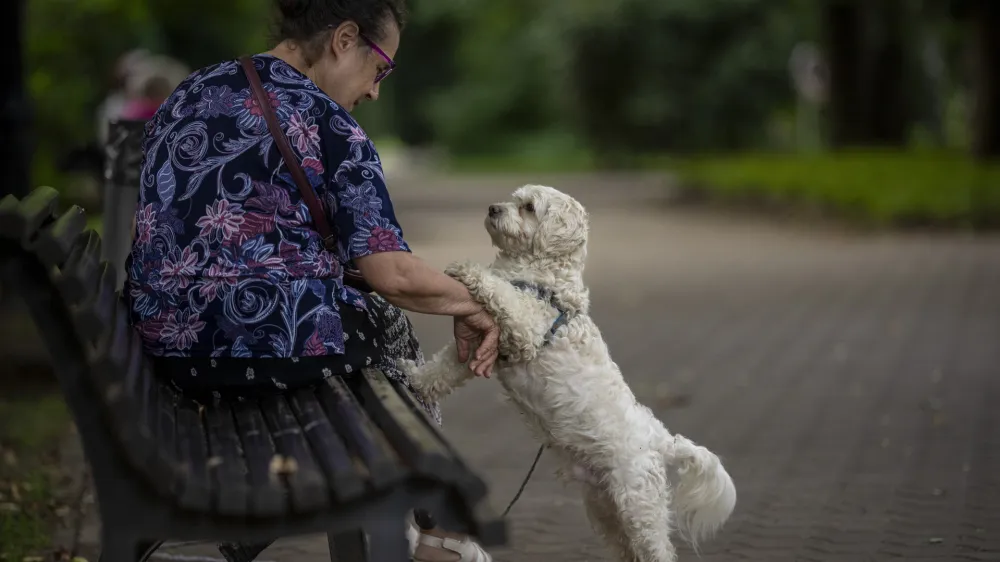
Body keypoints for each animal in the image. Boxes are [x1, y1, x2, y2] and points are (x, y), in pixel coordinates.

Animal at [398, 185, 736, 560]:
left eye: (529, 207)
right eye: (513, 198)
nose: (492, 209)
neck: (541, 276)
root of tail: (659, 439)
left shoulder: (525, 326)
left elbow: (501, 291)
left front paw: (467, 269)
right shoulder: (482, 346)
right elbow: (443, 369)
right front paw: (413, 378)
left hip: (639, 508)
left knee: (658, 551)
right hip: (606, 509)